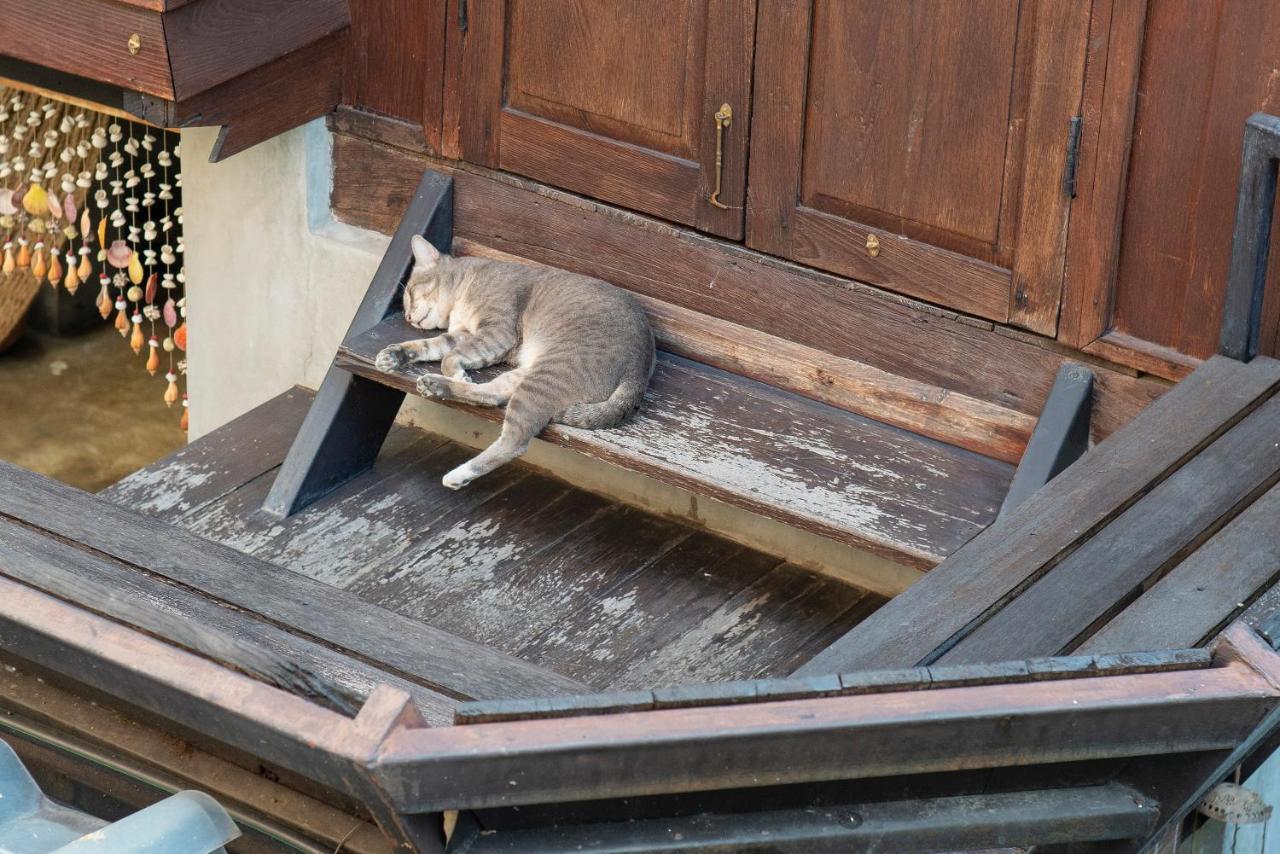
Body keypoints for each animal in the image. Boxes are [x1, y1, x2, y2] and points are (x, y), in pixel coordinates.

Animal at [371, 236, 650, 491]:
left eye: (409, 293)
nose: (408, 317)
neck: (466, 284)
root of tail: (640, 368)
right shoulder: (463, 334)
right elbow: (430, 346)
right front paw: (393, 355)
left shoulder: (496, 331)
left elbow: (449, 357)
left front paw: (457, 373)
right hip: (528, 374)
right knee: (492, 396)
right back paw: (436, 386)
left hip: (545, 376)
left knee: (515, 442)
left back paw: (459, 474)